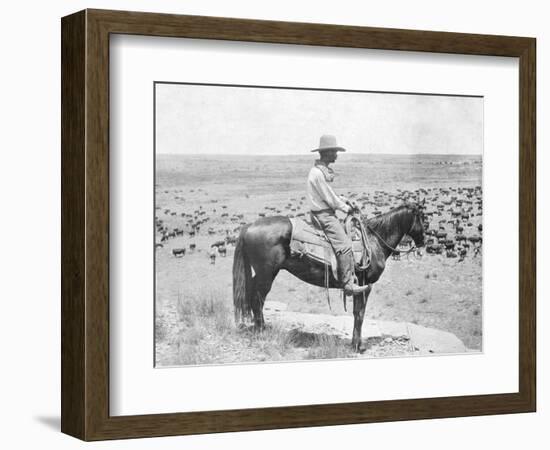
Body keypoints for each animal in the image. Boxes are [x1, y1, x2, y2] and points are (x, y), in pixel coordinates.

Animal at [233, 202, 426, 354]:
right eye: (422, 218)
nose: (423, 242)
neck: (373, 241)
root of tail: (249, 226)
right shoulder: (365, 285)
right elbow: (360, 314)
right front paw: (358, 346)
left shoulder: (360, 287)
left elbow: (357, 313)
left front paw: (355, 343)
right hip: (266, 274)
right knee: (257, 299)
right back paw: (261, 331)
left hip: (261, 273)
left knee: (253, 297)